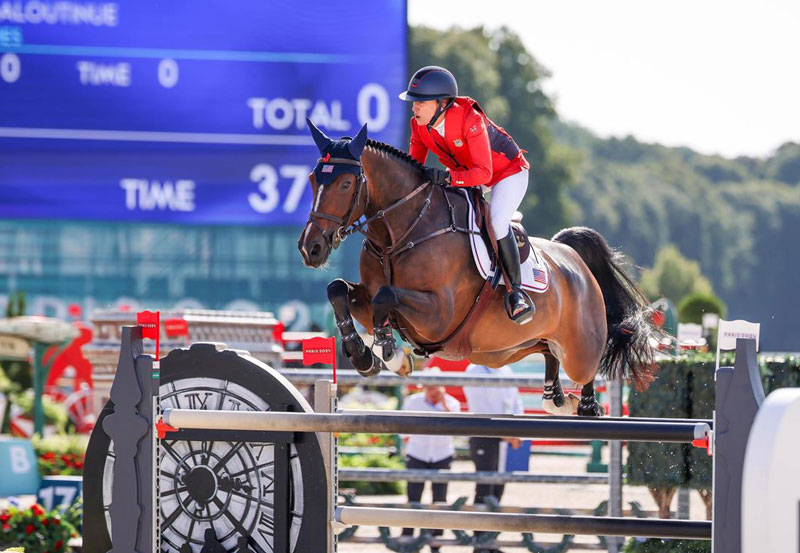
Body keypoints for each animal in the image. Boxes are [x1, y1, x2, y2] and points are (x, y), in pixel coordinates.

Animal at [296, 121, 660, 414]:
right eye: (313, 179)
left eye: (345, 184)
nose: (310, 248)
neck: (400, 233)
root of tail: (573, 257)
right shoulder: (370, 298)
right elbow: (338, 290)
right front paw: (364, 356)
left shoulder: (439, 314)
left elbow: (386, 295)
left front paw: (390, 352)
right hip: (517, 347)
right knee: (548, 360)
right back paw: (557, 399)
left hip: (579, 348)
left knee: (586, 369)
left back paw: (585, 405)